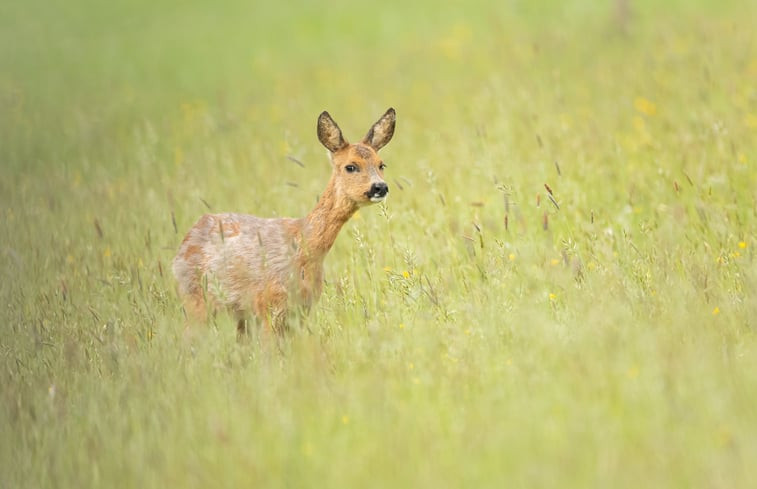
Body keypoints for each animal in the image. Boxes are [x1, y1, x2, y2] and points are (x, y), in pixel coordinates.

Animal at [171, 107, 396, 338]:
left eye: (381, 164)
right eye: (350, 166)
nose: (380, 187)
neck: (304, 248)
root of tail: (186, 239)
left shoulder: (302, 309)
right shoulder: (269, 304)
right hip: (195, 298)